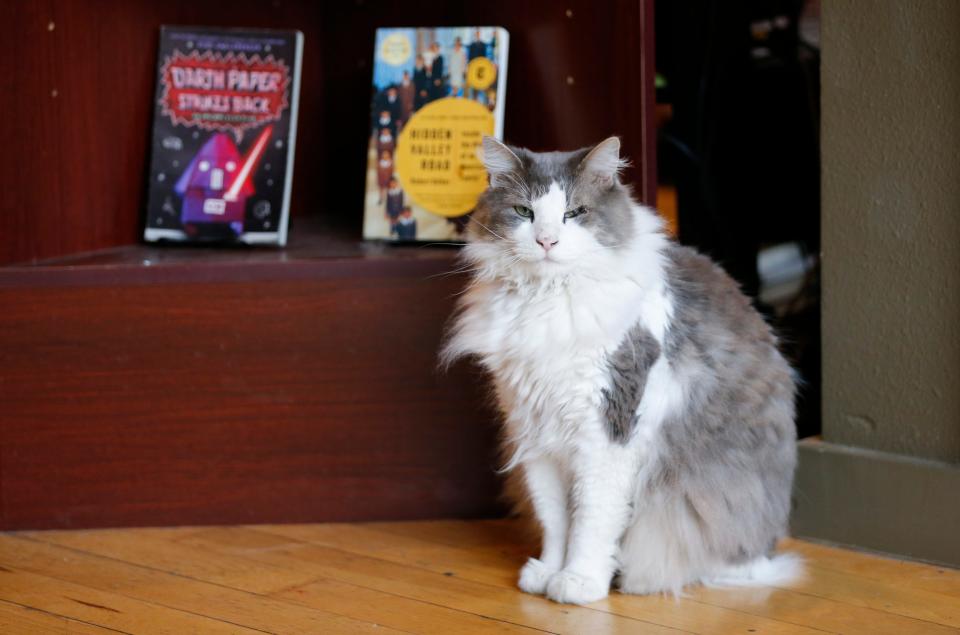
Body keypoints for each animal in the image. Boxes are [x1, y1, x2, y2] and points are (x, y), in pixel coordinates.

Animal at [442, 137, 804, 604]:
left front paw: (579, 582)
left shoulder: (607, 432)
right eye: (524, 212)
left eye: (574, 213)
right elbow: (555, 518)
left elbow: (591, 520)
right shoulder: (536, 433)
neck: (547, 300)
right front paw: (548, 573)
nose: (546, 240)